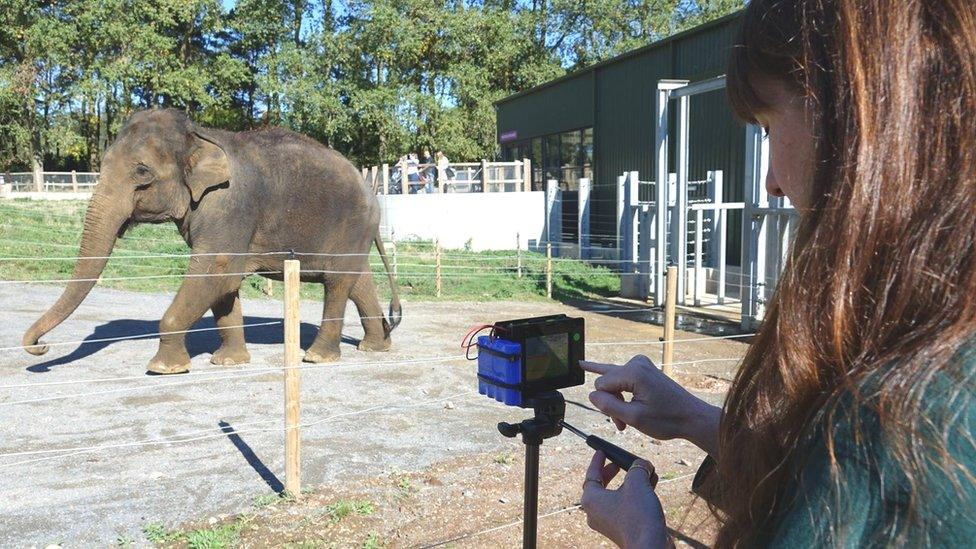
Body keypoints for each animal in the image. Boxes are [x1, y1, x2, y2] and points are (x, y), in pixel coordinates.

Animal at [20, 108, 400, 372]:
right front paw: (228, 362)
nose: (41, 346)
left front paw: (164, 368)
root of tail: (371, 190)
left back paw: (318, 358)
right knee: (357, 280)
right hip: (355, 234)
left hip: (350, 225)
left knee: (337, 283)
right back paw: (375, 347)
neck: (200, 135)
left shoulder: (228, 205)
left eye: (142, 172)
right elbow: (224, 282)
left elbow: (214, 269)